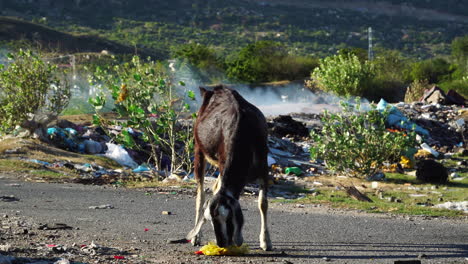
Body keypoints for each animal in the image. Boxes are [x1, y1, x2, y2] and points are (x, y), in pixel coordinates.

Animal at [186, 85, 272, 252]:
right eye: (210, 220)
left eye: (228, 218)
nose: (221, 243)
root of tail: (215, 89)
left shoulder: (264, 166)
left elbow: (263, 203)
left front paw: (266, 241)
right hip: (199, 148)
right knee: (200, 195)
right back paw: (196, 237)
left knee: (214, 187)